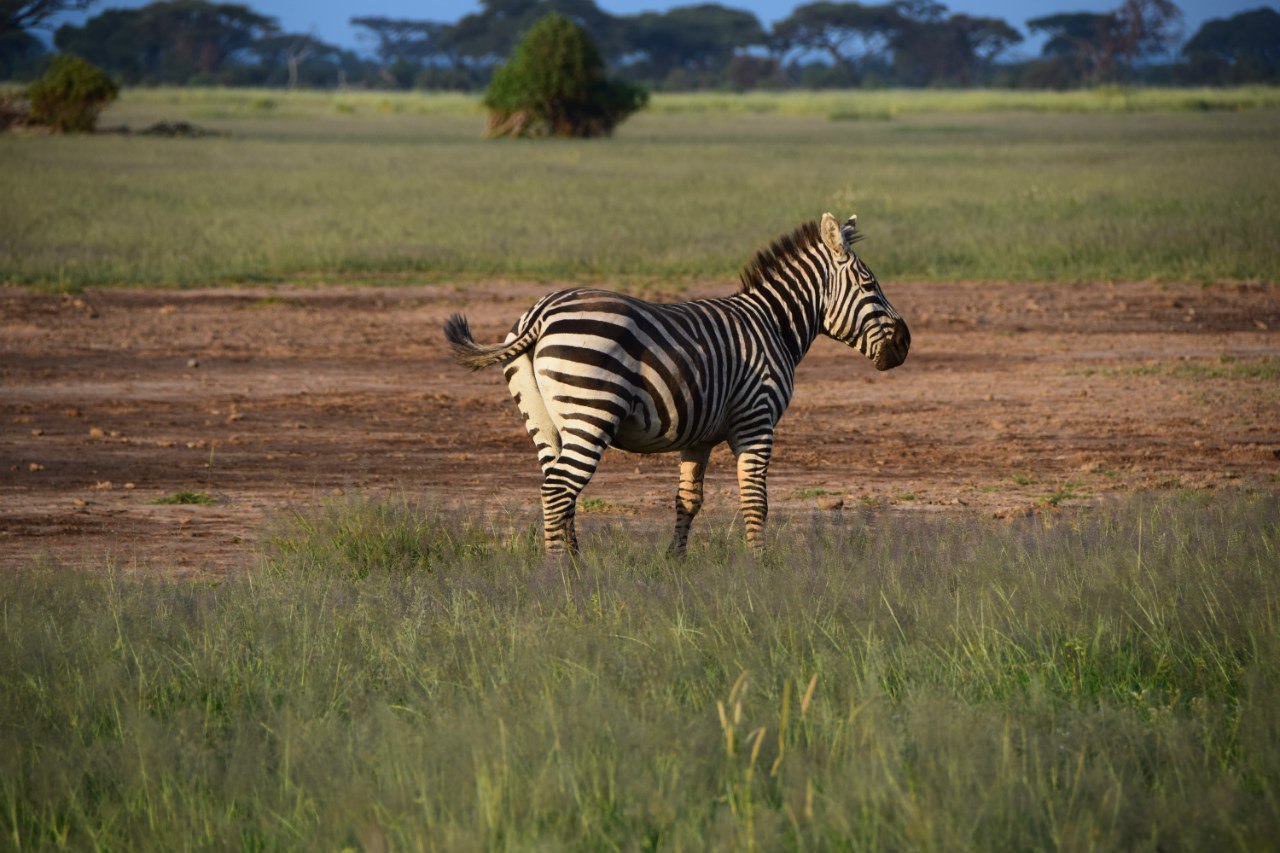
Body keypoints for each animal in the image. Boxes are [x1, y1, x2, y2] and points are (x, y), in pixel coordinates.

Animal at [443, 212, 910, 556]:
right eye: (870, 285)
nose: (906, 343)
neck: (771, 324)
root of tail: (541, 312)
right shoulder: (756, 421)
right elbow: (755, 499)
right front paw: (760, 567)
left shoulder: (698, 436)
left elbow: (688, 499)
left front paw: (675, 563)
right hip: (591, 413)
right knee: (559, 489)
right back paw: (560, 574)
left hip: (543, 421)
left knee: (557, 487)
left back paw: (572, 564)